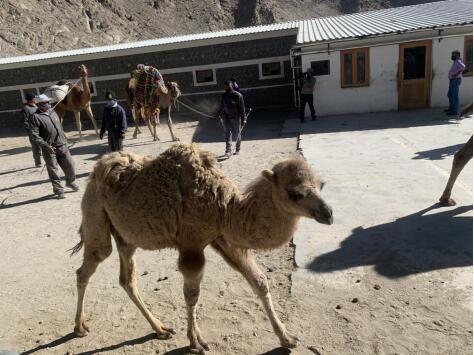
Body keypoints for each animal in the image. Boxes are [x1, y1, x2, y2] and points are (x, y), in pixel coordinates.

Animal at [72, 143, 336, 354]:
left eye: (321, 185)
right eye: (295, 193)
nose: (328, 213)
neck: (225, 207)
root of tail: (96, 172)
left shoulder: (222, 237)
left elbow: (259, 281)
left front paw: (287, 338)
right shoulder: (192, 243)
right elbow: (192, 295)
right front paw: (195, 342)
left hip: (126, 236)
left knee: (127, 278)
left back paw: (161, 329)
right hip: (95, 213)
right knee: (89, 265)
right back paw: (79, 327)